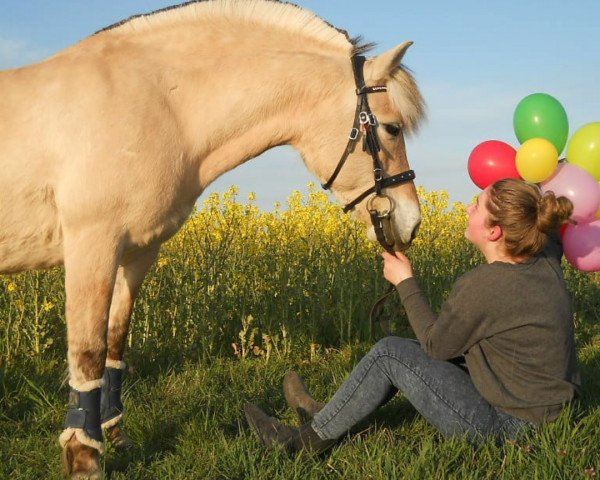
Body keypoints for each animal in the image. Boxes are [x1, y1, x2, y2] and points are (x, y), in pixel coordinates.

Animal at [0, 0, 422, 476]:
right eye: (391, 128)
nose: (411, 222)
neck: (155, 102)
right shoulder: (92, 244)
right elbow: (88, 350)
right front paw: (84, 455)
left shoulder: (137, 252)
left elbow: (115, 342)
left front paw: (116, 438)